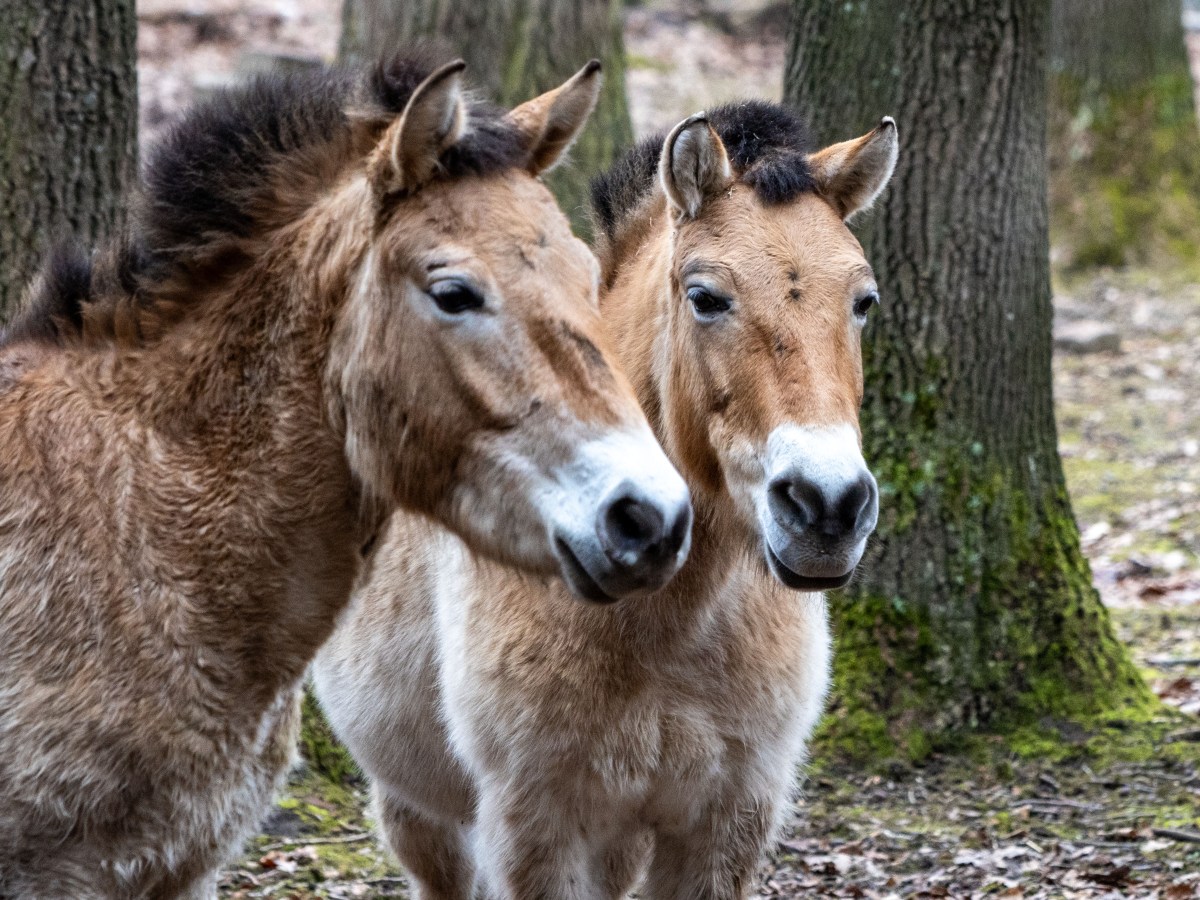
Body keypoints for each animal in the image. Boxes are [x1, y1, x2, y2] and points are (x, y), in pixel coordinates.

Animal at [314, 101, 898, 899]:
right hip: (422, 816)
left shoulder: (727, 821)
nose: (827, 504)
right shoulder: (539, 827)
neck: (663, 628)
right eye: (705, 298)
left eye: (863, 302)